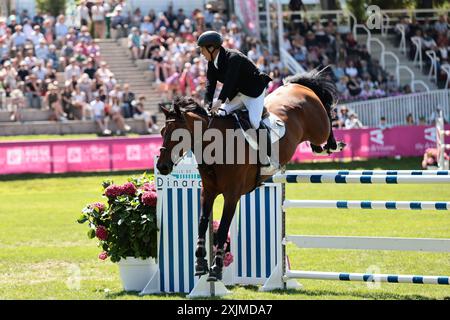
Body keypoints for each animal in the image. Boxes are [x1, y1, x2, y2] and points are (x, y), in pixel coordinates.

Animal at [156, 67, 342, 280]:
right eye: (162, 131)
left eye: (177, 135)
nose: (162, 167)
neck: (217, 146)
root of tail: (297, 85)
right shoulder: (208, 192)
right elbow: (202, 224)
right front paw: (200, 263)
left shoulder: (232, 194)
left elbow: (222, 229)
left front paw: (216, 268)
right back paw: (319, 149)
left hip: (319, 126)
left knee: (327, 119)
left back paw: (333, 145)